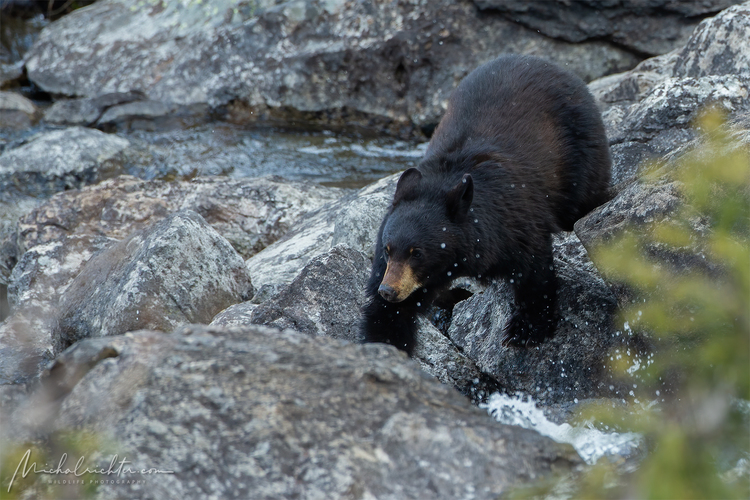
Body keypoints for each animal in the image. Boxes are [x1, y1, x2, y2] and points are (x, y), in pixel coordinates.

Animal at [362, 54, 612, 356]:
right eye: (388, 250)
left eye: (417, 252)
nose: (389, 291)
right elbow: (389, 315)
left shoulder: (513, 219)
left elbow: (534, 270)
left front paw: (526, 330)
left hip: (582, 155)